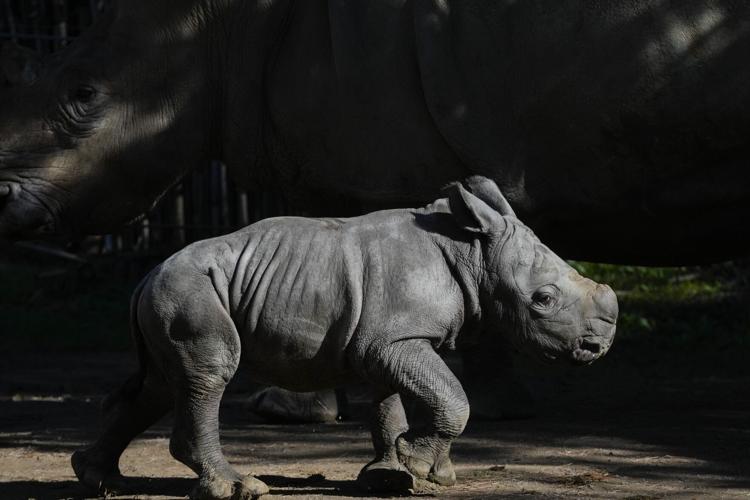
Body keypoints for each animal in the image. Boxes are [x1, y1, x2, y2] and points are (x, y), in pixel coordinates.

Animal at [71, 177, 618, 499]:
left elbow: (390, 402)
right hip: (188, 290)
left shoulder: (383, 339)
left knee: (162, 384)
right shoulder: (393, 339)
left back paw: (98, 478)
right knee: (207, 373)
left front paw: (407, 475)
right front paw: (418, 464)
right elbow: (450, 397)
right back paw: (238, 487)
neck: (472, 253)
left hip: (174, 292)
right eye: (542, 300)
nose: (597, 348)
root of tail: (146, 274)